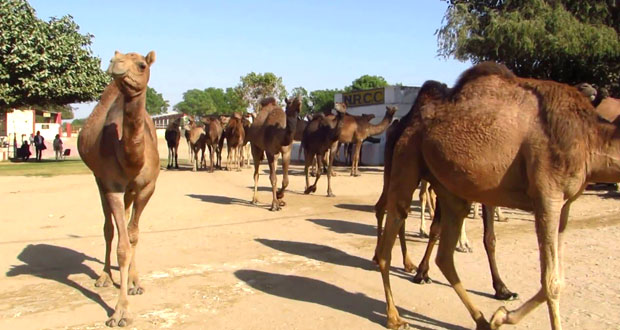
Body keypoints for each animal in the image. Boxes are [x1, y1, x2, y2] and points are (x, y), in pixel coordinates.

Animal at [76, 50, 159, 326]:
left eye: (142, 65)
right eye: (119, 56)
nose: (116, 64)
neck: (132, 159)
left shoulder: (147, 187)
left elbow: (133, 237)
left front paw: (134, 283)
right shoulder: (112, 184)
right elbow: (122, 245)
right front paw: (121, 312)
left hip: (131, 191)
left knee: (125, 220)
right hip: (98, 179)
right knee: (109, 228)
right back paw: (103, 277)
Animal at [372, 61, 616, 330]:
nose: (592, 88)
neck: (588, 136)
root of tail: (406, 122)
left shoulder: (565, 204)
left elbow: (556, 277)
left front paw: (500, 311)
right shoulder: (546, 196)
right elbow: (551, 282)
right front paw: (502, 313)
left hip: (450, 190)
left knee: (444, 255)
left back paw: (481, 319)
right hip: (407, 157)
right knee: (391, 233)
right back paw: (394, 315)